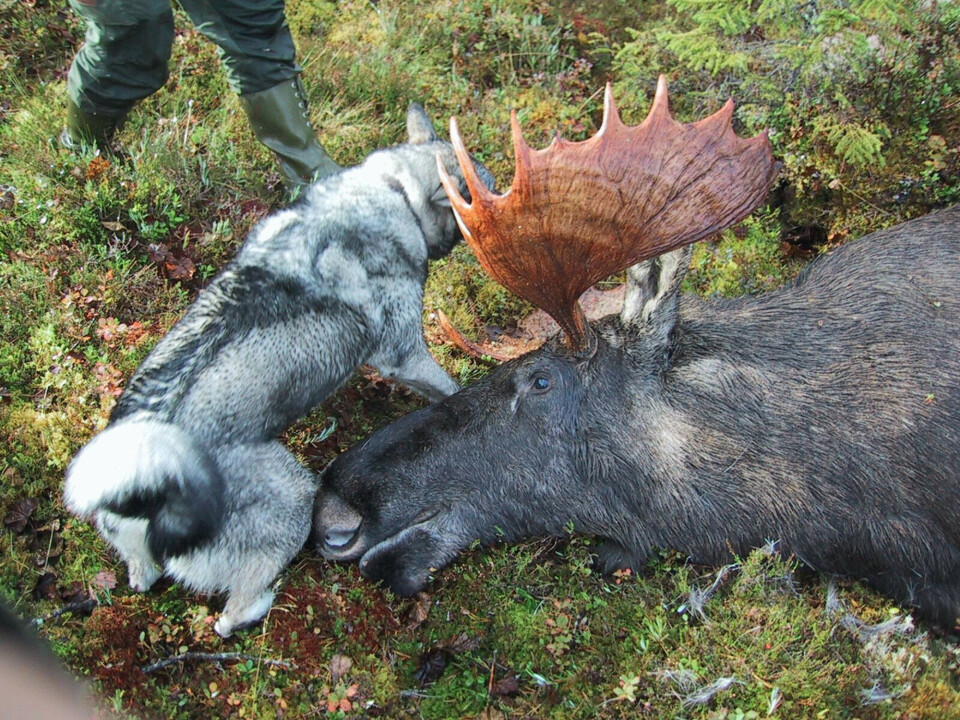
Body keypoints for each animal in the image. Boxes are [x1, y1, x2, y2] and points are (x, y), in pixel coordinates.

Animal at [65, 102, 496, 636]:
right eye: (478, 198)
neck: (392, 189)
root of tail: (149, 490)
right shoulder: (404, 353)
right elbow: (447, 388)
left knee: (144, 575)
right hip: (293, 498)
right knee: (230, 614)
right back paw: (258, 605)